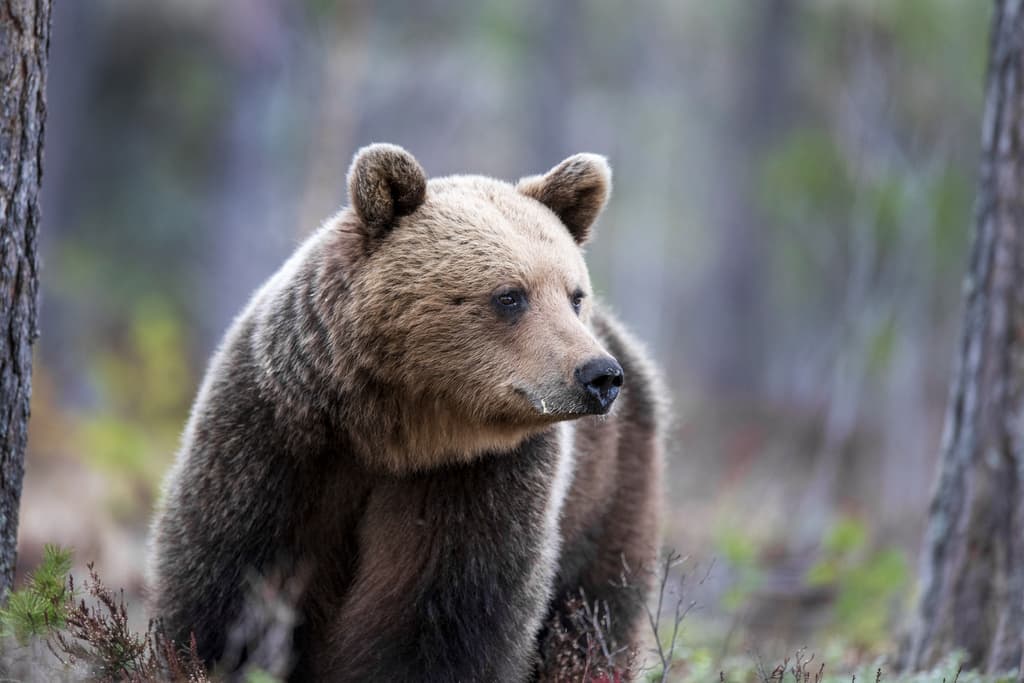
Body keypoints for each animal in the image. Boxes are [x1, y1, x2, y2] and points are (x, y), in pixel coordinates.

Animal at [147, 143, 666, 681]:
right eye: (510, 295)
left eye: (574, 295)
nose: (599, 375)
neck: (394, 433)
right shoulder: (274, 441)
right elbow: (224, 583)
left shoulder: (478, 480)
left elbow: (444, 617)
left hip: (610, 489)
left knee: (598, 608)